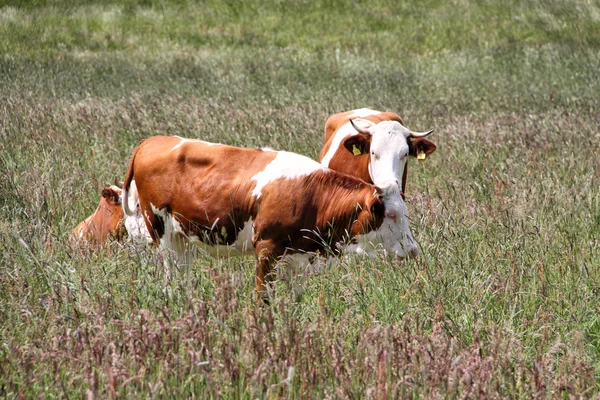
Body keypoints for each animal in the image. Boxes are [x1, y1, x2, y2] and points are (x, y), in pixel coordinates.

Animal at [122, 136, 418, 296]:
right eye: (391, 215)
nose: (413, 250)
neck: (313, 195)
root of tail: (152, 141)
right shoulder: (266, 248)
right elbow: (262, 298)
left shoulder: (299, 257)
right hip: (162, 234)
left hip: (182, 239)